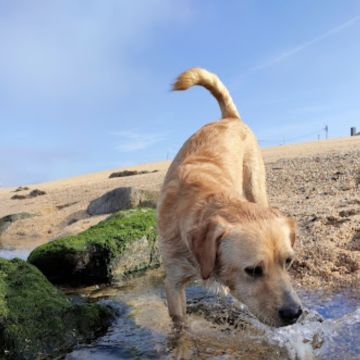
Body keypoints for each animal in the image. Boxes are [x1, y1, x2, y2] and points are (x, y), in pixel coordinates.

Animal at [158, 67, 300, 326]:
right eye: (253, 270)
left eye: (288, 261)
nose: (294, 313)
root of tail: (229, 119)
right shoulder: (172, 283)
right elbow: (180, 324)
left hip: (255, 185)